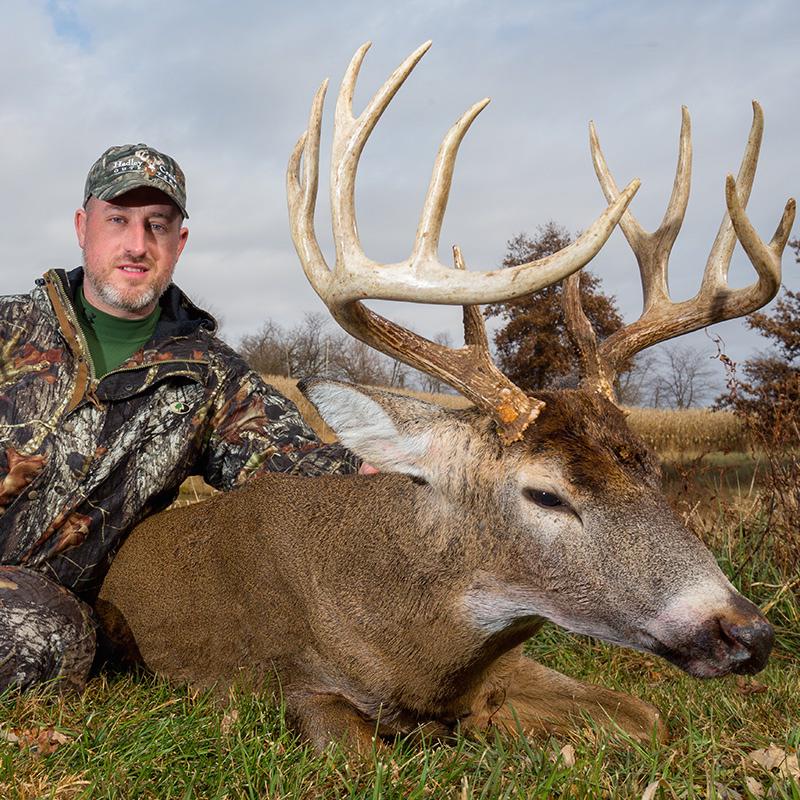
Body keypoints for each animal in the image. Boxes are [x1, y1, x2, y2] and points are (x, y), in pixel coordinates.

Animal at [96, 42, 795, 754]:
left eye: (654, 471)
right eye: (546, 493)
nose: (747, 631)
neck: (424, 654)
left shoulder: (513, 669)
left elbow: (648, 719)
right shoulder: (296, 684)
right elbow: (358, 753)